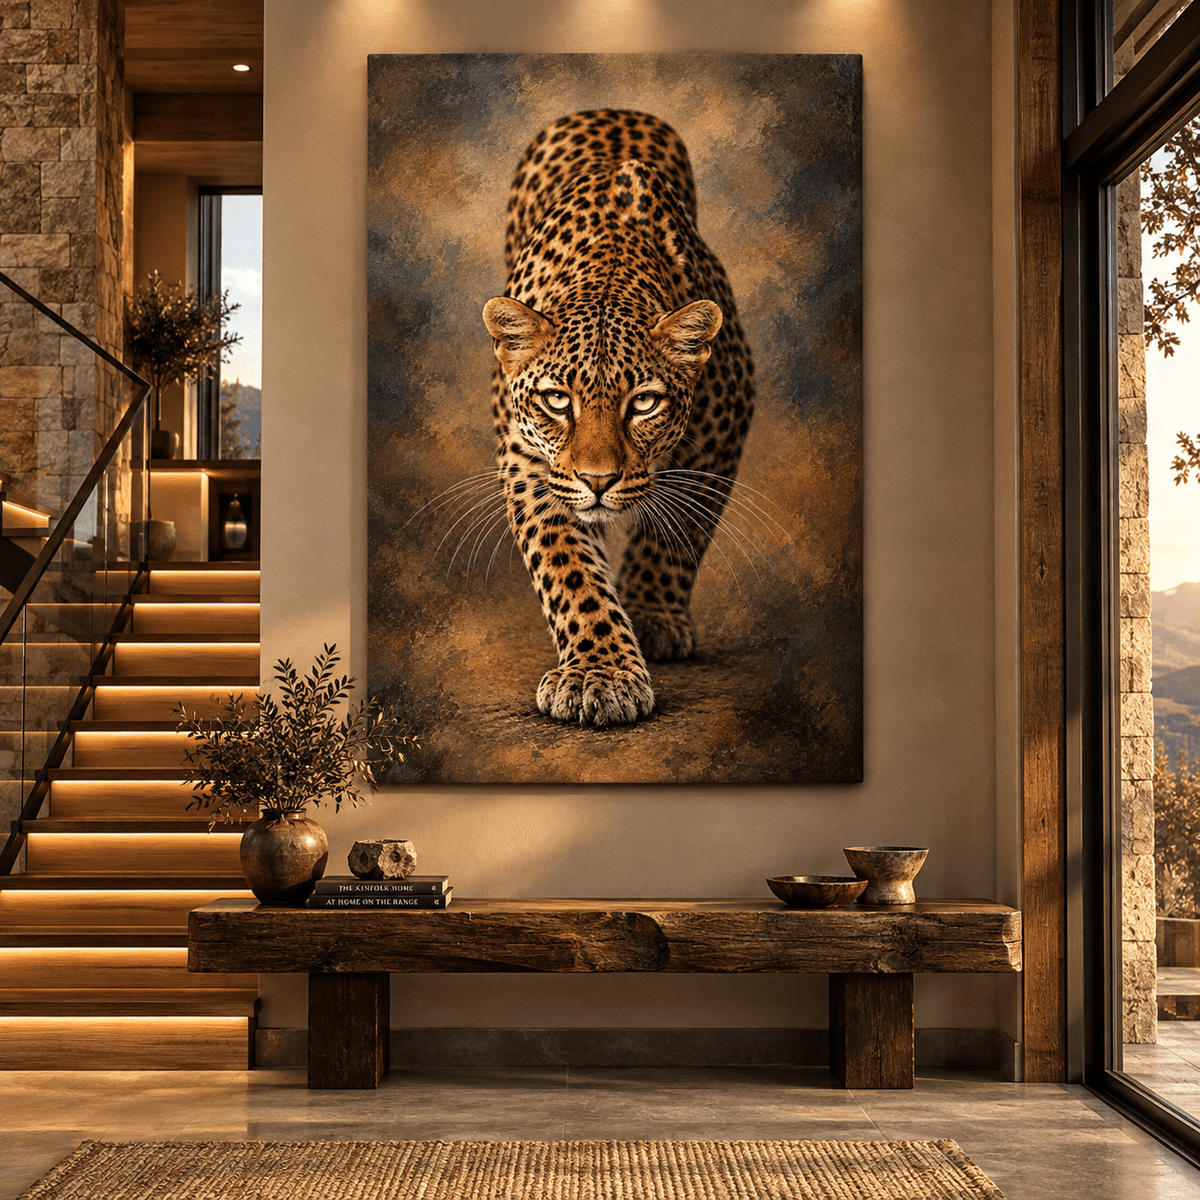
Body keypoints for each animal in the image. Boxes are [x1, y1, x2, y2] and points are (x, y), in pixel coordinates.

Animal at [482, 109, 755, 727]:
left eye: (644, 403)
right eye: (558, 401)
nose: (599, 480)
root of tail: (606, 108)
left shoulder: (722, 428)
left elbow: (680, 533)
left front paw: (651, 617)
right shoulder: (529, 460)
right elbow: (567, 566)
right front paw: (599, 674)